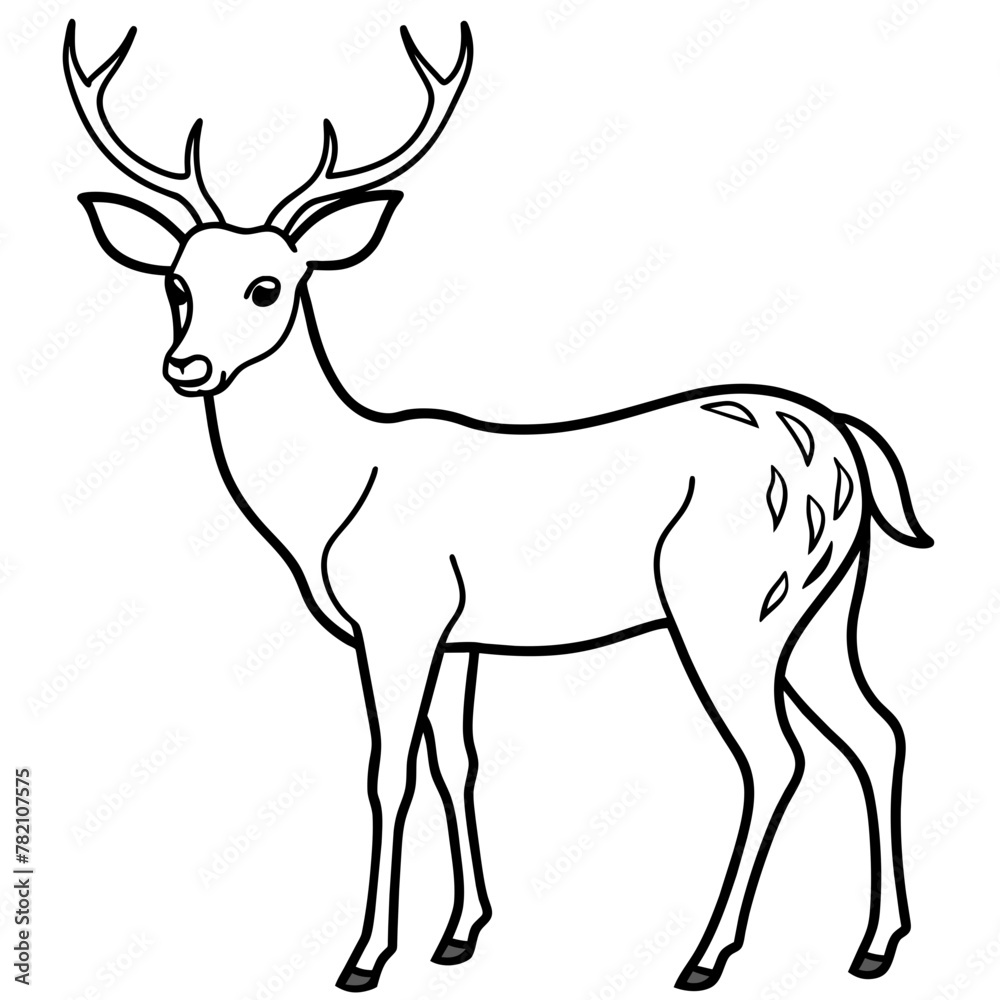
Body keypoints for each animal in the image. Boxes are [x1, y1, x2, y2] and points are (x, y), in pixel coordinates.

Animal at [66, 18, 932, 992]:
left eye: (269, 286)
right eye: (176, 283)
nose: (187, 367)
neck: (333, 501)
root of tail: (845, 441)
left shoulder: (397, 618)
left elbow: (389, 774)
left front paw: (366, 956)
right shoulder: (460, 635)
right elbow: (459, 764)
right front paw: (460, 933)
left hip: (730, 602)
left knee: (776, 757)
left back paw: (706, 954)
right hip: (824, 604)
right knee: (879, 731)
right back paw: (875, 944)